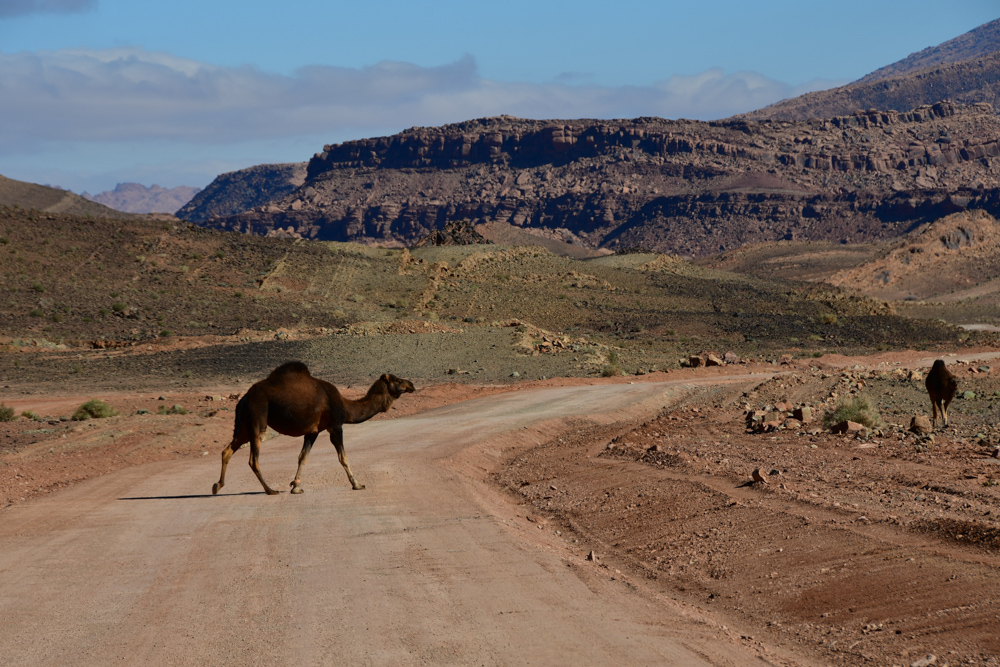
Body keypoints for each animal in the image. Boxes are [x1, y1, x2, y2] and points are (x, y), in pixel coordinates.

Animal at [211, 360, 414, 496]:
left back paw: (216, 486)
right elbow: (343, 457)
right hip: (257, 419)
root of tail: (244, 398)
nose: (411, 384)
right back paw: (270, 490)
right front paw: (357, 484)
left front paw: (296, 486)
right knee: (253, 459)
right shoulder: (335, 426)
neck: (346, 406)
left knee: (227, 451)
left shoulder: (313, 431)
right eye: (397, 380)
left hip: (244, 425)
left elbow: (303, 457)